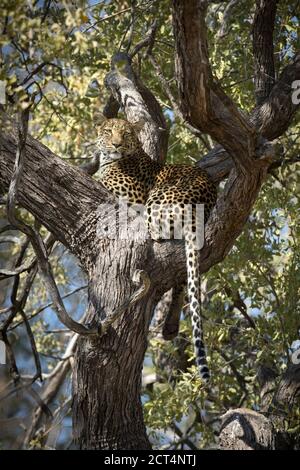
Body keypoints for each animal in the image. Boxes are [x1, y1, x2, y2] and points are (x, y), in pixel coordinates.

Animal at [95, 117, 217, 382]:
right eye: (108, 132)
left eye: (125, 134)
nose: (116, 144)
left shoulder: (131, 194)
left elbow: (99, 179)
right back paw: (170, 326)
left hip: (154, 202)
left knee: (155, 233)